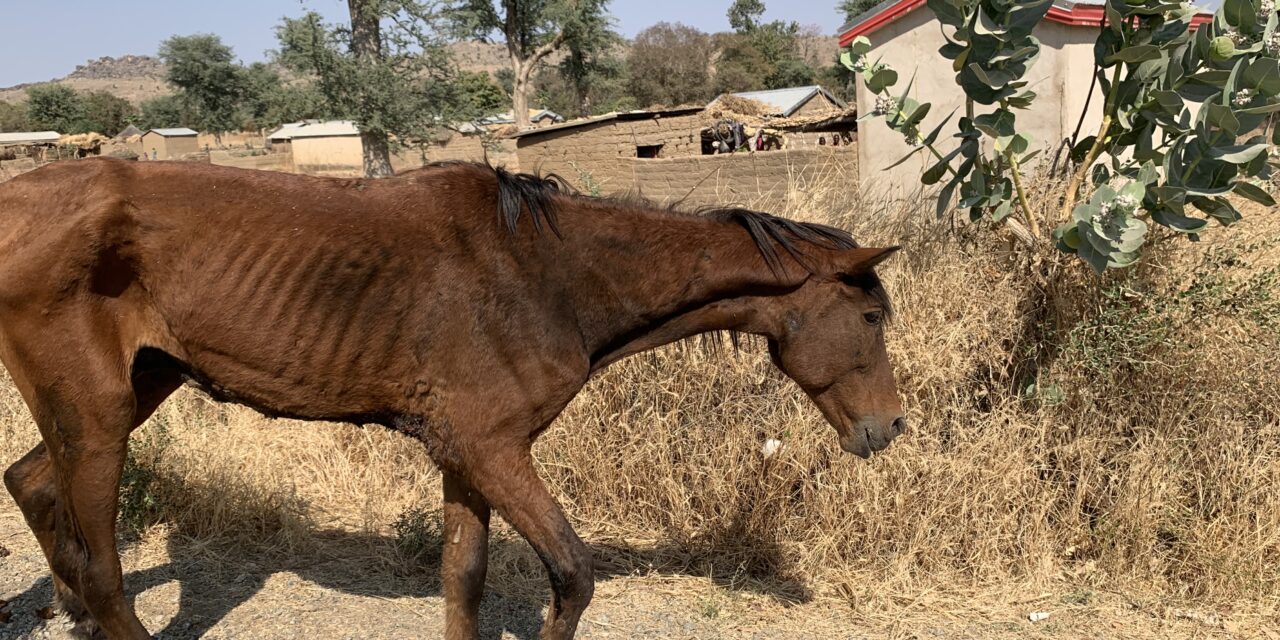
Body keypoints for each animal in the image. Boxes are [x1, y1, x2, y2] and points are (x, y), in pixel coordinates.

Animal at [0, 158, 905, 639]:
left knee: (33, 485)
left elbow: (462, 577)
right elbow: (572, 574)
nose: (889, 428)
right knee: (102, 567)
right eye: (870, 317)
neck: (546, 274)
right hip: (98, 419)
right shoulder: (492, 448)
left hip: (131, 391)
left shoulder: (465, 453)